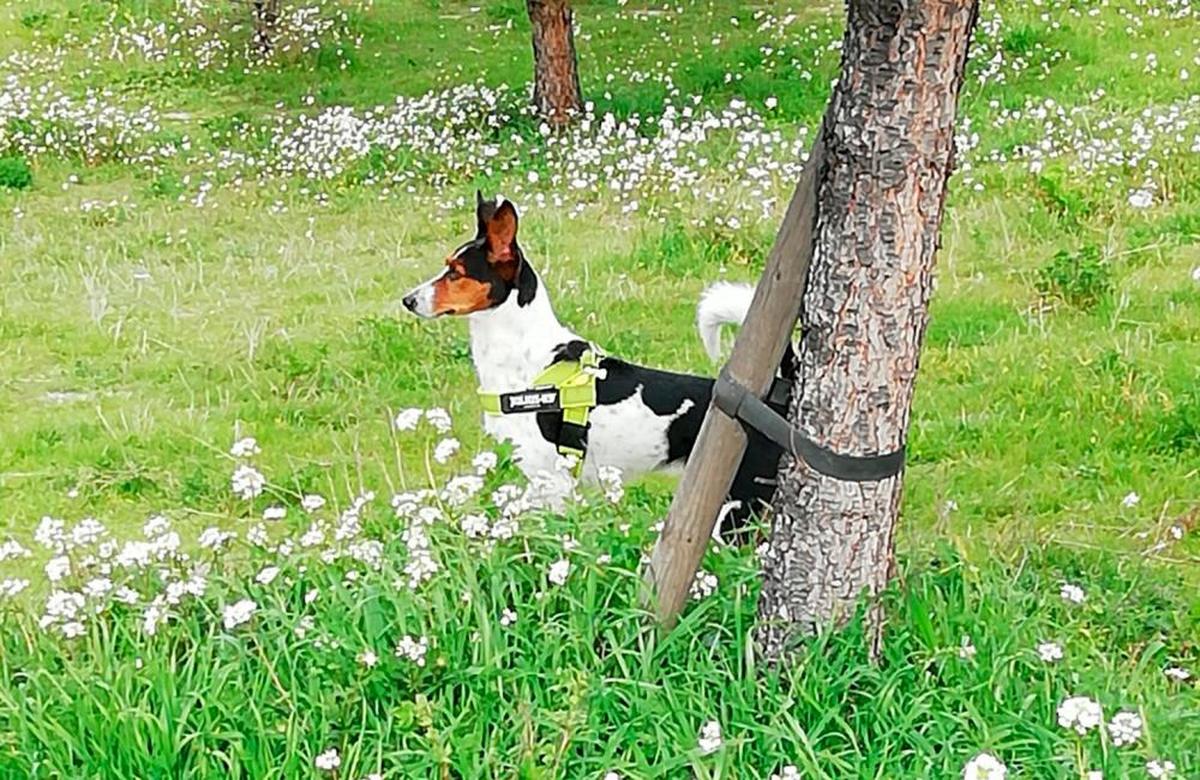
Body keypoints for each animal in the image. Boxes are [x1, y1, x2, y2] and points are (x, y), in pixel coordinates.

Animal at [403, 193, 792, 530]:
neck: (524, 356)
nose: (408, 300)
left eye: (456, 272)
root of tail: (773, 402)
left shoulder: (553, 480)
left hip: (739, 508)